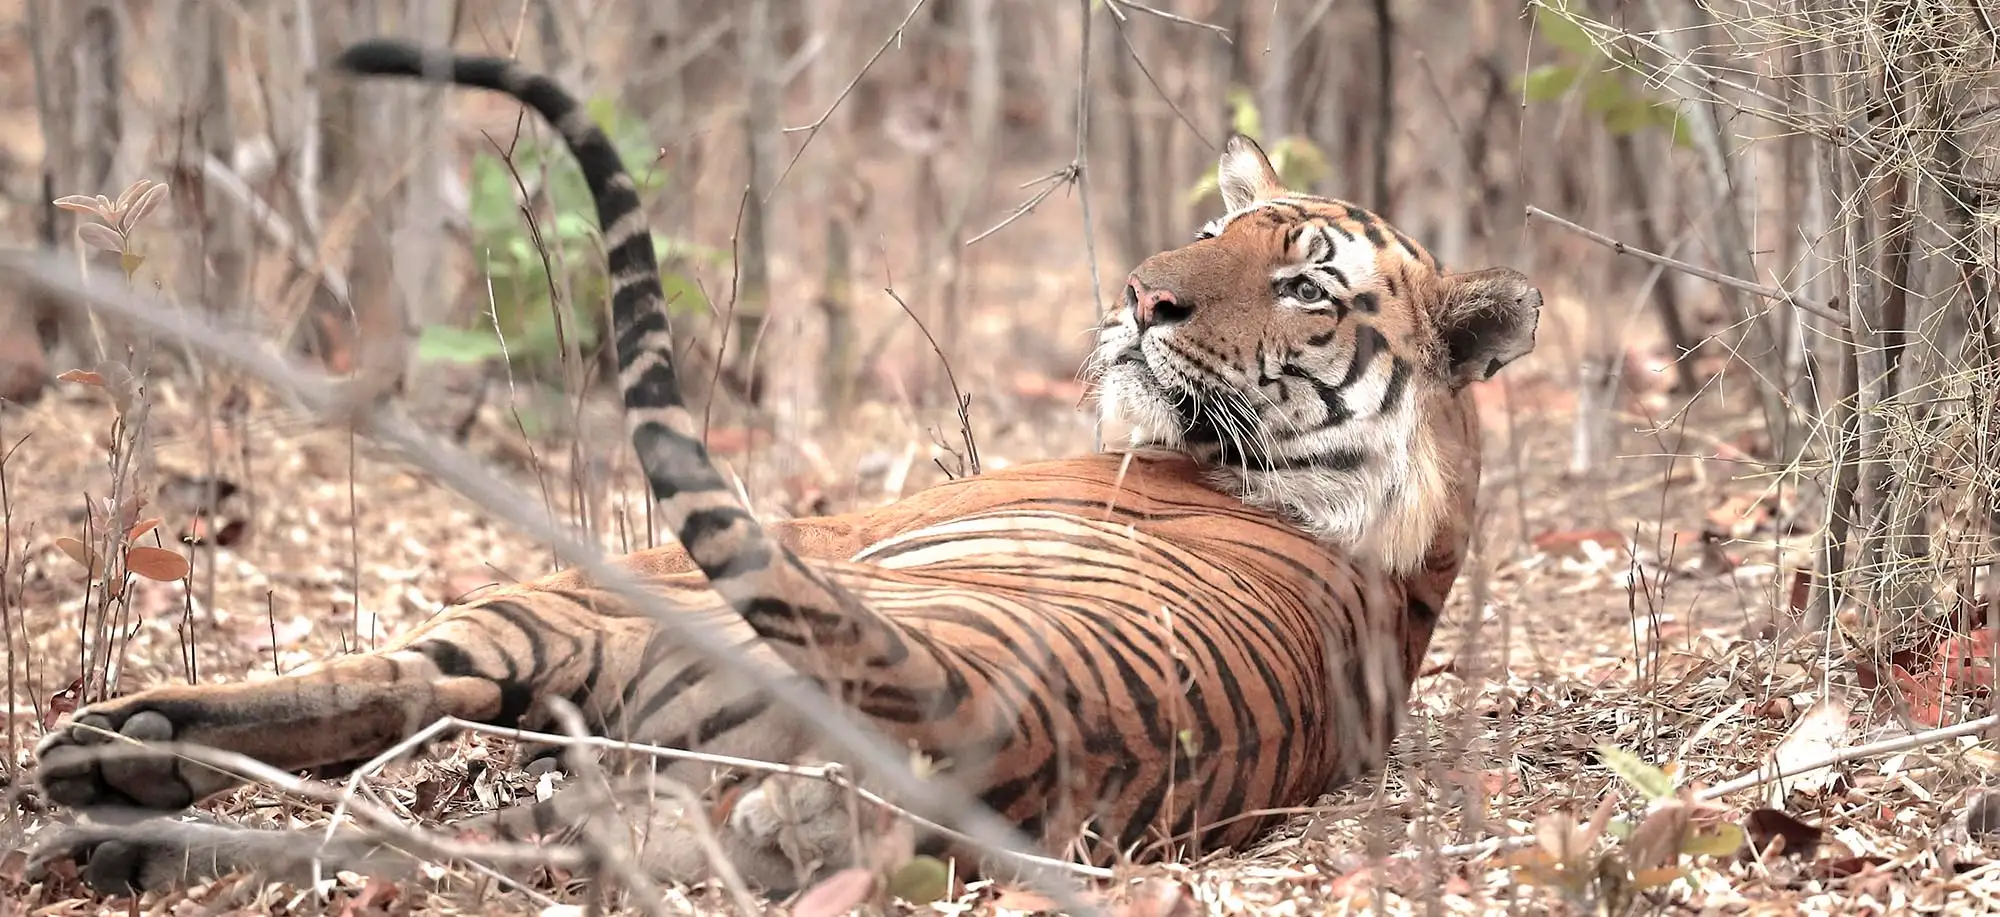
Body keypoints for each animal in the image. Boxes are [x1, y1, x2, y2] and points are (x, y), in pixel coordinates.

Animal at [27, 38, 1541, 899]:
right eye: (1221, 230)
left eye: (1305, 287)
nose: (1141, 296)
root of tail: (975, 707)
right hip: (635, 811)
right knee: (407, 840)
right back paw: (123, 837)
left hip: (599, 616)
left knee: (395, 686)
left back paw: (110, 761)